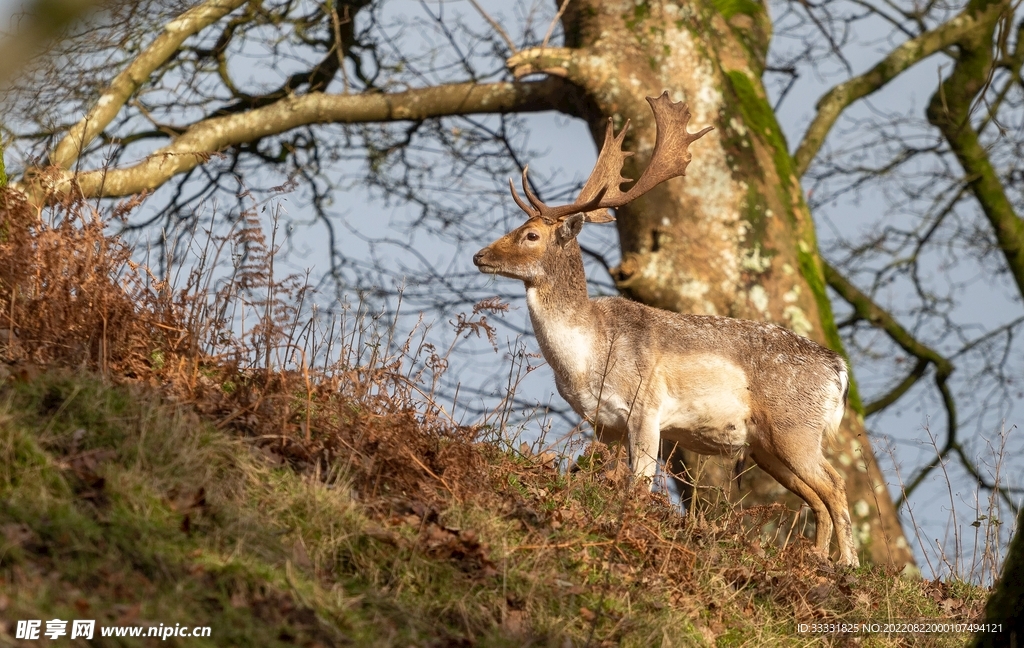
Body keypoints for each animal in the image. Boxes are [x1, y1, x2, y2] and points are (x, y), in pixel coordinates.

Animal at [472, 92, 859, 567]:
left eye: (530, 235)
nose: (480, 255)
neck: (585, 358)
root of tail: (838, 369)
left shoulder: (646, 407)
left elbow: (638, 484)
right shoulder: (602, 423)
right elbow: (597, 475)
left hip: (795, 428)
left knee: (836, 486)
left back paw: (848, 564)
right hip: (767, 446)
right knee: (816, 497)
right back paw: (818, 560)